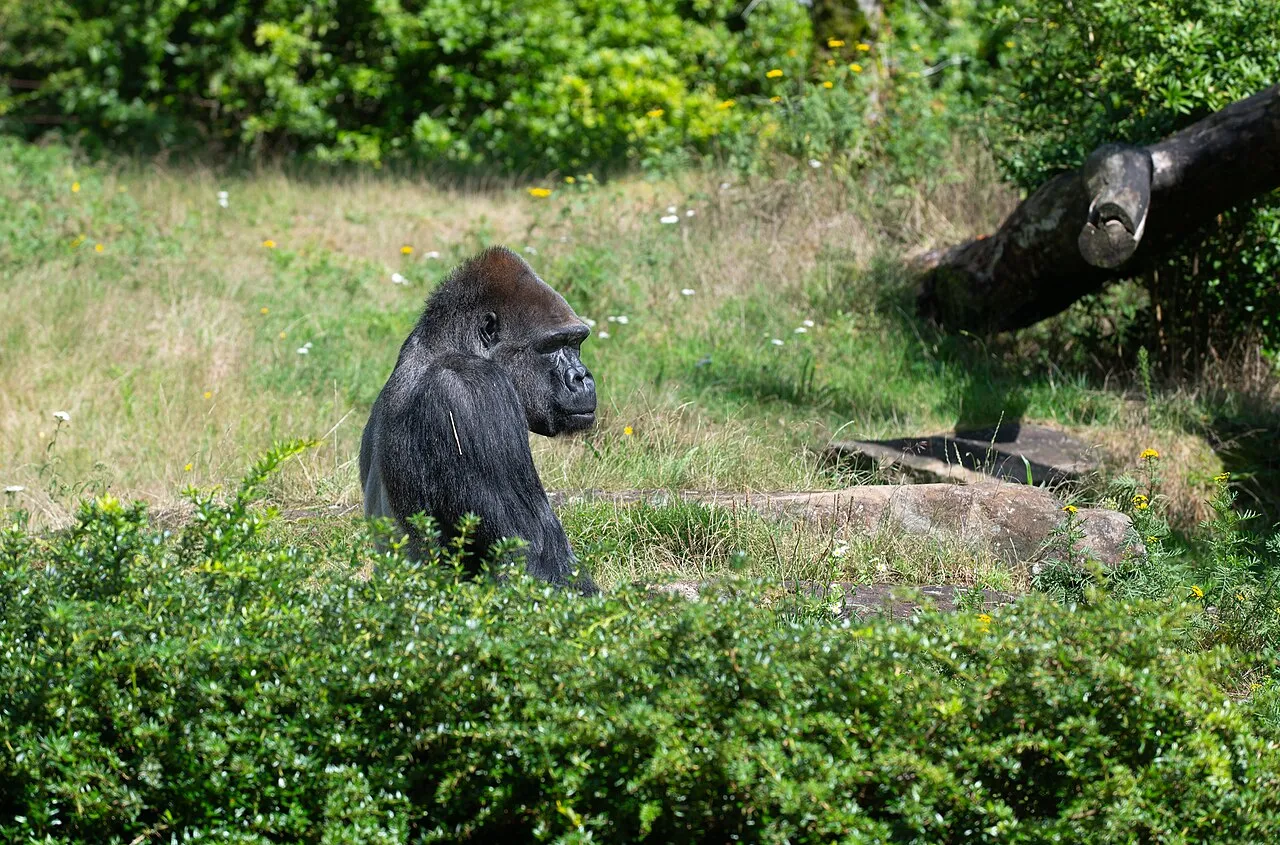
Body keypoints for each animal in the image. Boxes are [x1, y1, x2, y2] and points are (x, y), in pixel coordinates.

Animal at [359, 246, 598, 594]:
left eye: (576, 342)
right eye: (553, 345)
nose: (582, 377)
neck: (443, 347)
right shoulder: (474, 393)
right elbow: (534, 557)